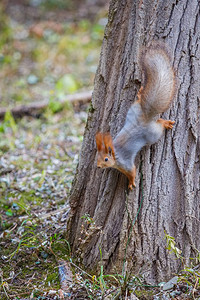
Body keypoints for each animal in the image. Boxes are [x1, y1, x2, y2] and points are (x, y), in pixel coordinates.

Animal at [96, 41, 176, 190]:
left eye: (106, 159)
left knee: (159, 125)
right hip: (134, 109)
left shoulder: (126, 163)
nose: (98, 166)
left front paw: (131, 183)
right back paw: (140, 94)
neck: (116, 155)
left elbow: (132, 172)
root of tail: (145, 117)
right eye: (97, 157)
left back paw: (166, 123)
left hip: (153, 134)